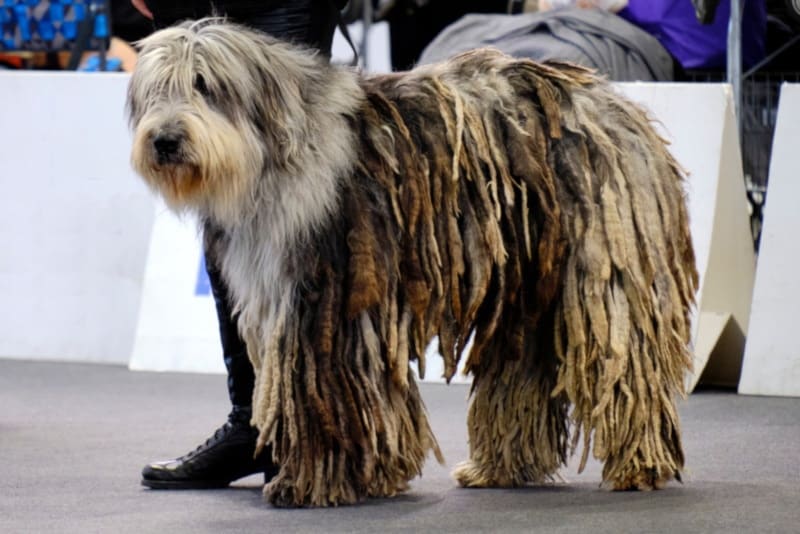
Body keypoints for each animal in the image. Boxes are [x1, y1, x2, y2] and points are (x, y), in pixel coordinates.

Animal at [128, 18, 696, 508]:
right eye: (156, 92)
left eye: (204, 85)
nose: (165, 140)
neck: (275, 152)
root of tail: (613, 99)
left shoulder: (327, 302)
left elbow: (329, 387)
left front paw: (312, 483)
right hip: (528, 287)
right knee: (522, 372)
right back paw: (500, 466)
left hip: (600, 275)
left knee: (626, 370)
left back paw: (639, 464)